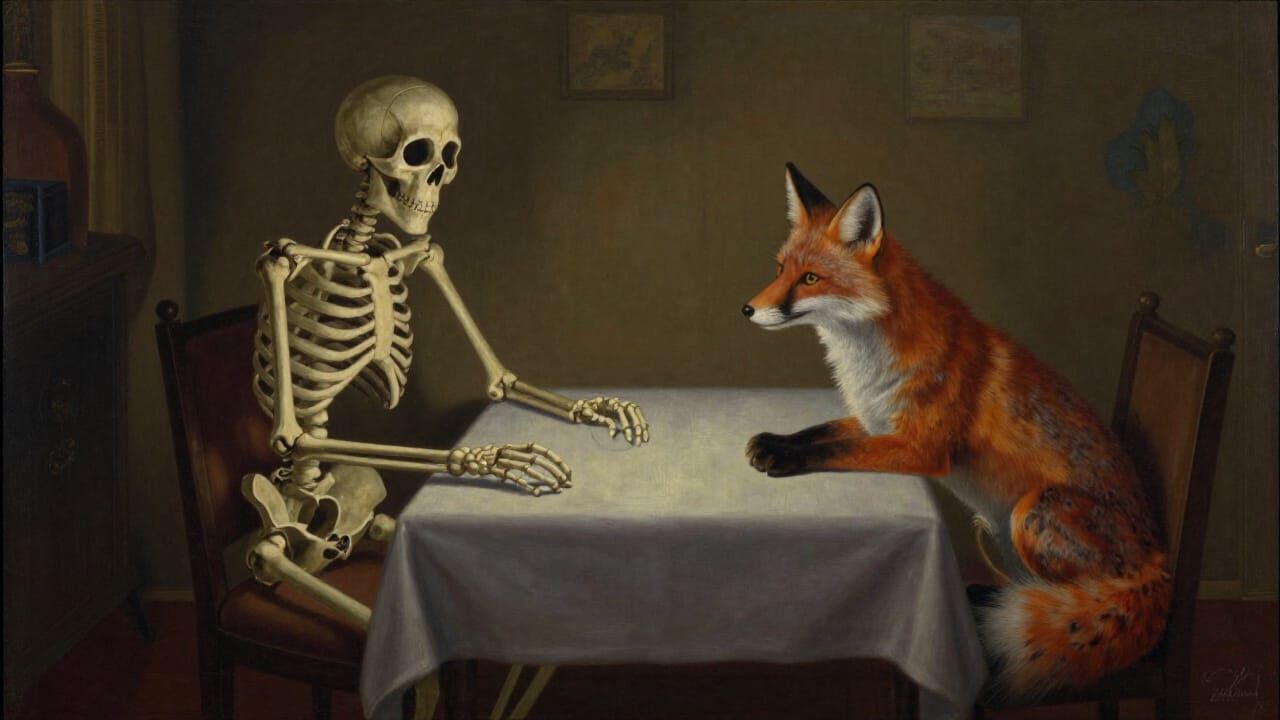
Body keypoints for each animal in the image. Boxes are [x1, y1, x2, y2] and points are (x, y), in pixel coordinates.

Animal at [741, 163, 1170, 700]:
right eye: (780, 269)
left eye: (811, 278)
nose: (747, 309)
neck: (869, 361)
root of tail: (1158, 559)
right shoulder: (874, 419)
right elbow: (818, 431)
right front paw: (774, 443)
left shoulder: (919, 448)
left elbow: (835, 450)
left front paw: (782, 459)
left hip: (1031, 512)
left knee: (1074, 594)